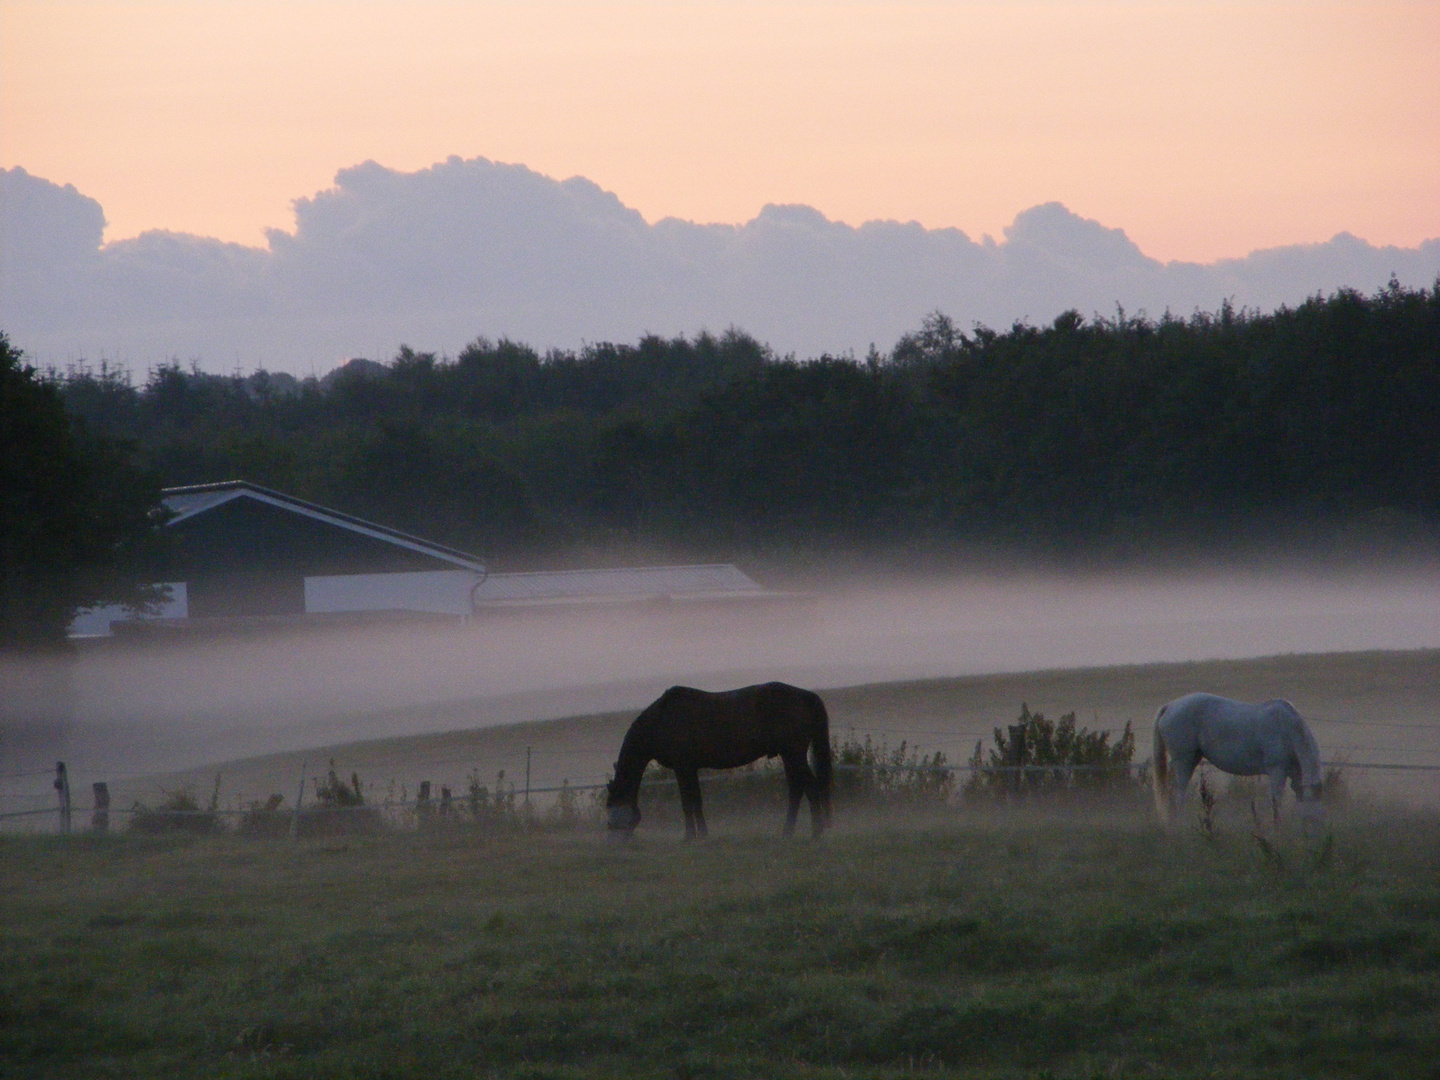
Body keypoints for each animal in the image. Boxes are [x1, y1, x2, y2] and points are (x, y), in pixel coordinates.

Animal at [604, 679, 835, 840]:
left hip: (794, 755)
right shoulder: (691, 768)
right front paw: (703, 835)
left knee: (810, 787)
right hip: (789, 756)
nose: (614, 843)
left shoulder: (682, 768)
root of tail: (805, 695)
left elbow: (687, 803)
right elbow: (696, 801)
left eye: (611, 813)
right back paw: (788, 832)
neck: (662, 719)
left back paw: (816, 832)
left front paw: (689, 837)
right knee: (797, 790)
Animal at [1152, 694, 1319, 829]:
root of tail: (1170, 706)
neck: (1288, 728)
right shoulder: (1277, 772)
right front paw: (1277, 828)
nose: (1311, 828)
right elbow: (1276, 802)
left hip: (1191, 760)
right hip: (1183, 762)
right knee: (1177, 796)